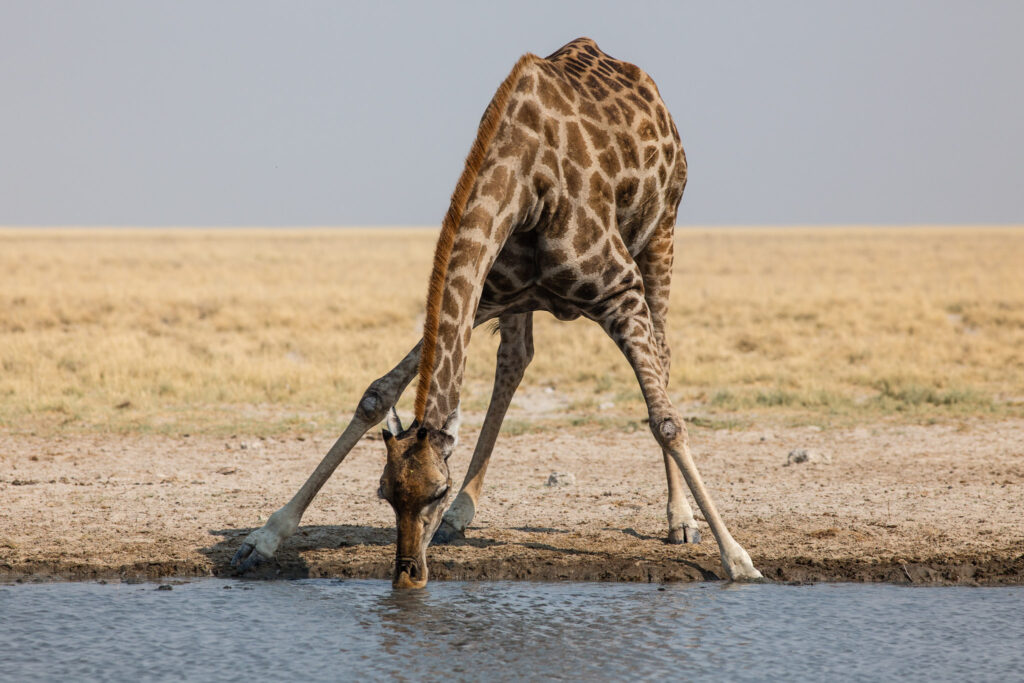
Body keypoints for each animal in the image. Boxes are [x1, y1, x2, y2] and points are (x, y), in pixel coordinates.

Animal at [232, 38, 761, 589]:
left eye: (435, 492)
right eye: (384, 492)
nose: (408, 576)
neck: (526, 183)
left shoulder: (621, 290)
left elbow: (666, 420)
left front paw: (738, 559)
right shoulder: (487, 294)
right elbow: (377, 394)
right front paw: (262, 539)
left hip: (661, 234)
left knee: (663, 353)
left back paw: (681, 521)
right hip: (521, 300)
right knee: (515, 360)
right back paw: (465, 514)